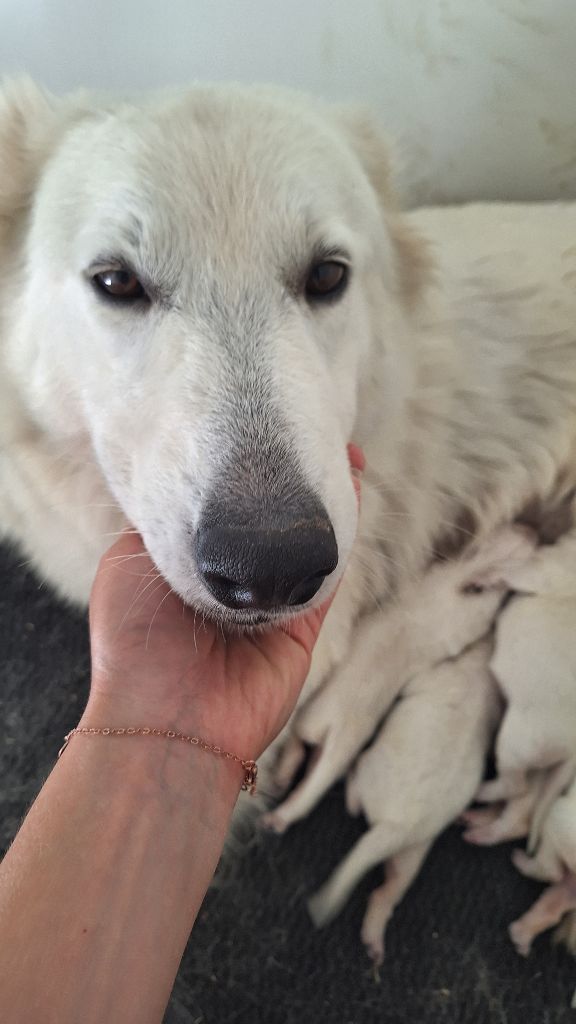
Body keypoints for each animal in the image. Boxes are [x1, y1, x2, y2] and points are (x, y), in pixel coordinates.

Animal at [261, 524, 532, 835]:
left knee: (301, 753)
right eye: (497, 538)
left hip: (319, 724)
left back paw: (280, 801)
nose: (530, 530)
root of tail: (337, 731)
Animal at [305, 638, 498, 958]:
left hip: (373, 771)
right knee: (387, 890)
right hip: (412, 852)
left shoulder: (429, 677)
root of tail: (397, 827)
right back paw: (374, 941)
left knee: (355, 792)